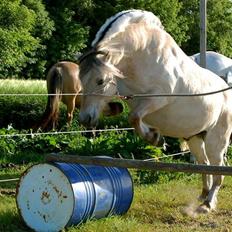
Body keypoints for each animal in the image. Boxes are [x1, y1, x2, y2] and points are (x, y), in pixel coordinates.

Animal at [77, 10, 232, 214]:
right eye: (80, 79)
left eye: (100, 81)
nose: (85, 119)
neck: (140, 55)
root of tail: (227, 91)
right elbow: (127, 113)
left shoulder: (157, 98)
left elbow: (134, 117)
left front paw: (155, 138)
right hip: (195, 138)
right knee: (205, 164)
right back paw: (203, 195)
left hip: (217, 141)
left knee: (218, 171)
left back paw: (207, 204)